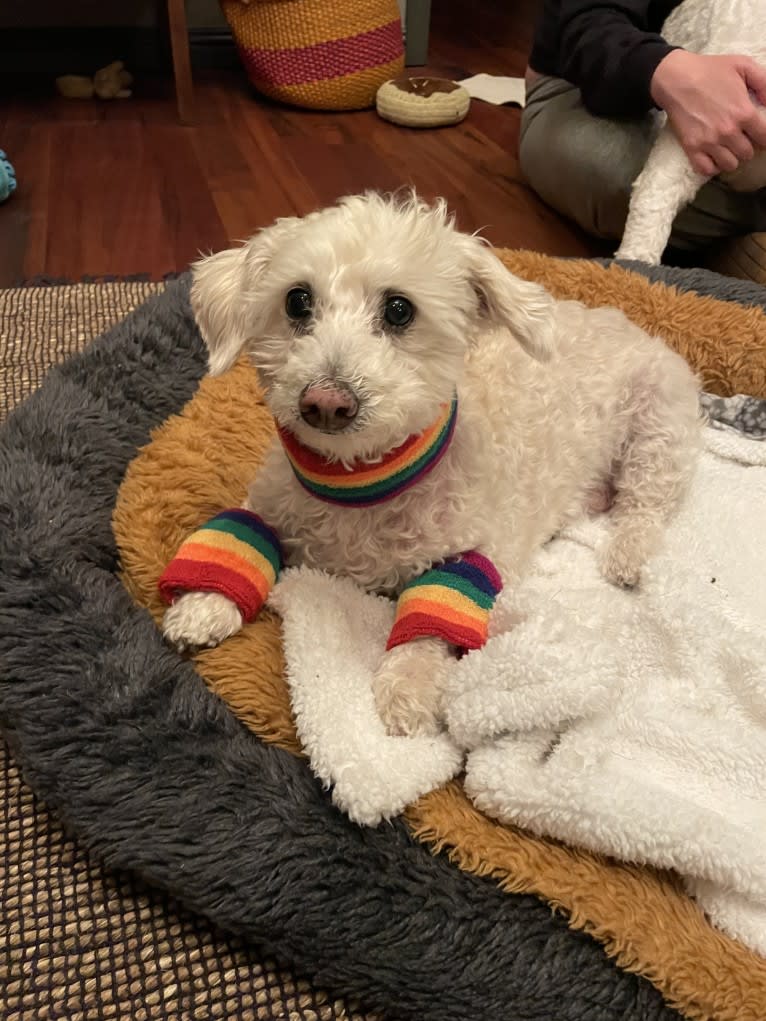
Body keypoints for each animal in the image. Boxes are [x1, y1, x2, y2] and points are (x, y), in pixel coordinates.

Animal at [165, 191, 706, 735]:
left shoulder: (474, 550)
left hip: (658, 429)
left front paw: (410, 684)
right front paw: (205, 603)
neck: (361, 483)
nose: (326, 403)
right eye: (297, 300)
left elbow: (432, 616)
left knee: (645, 505)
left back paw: (627, 555)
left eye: (399, 309)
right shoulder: (273, 503)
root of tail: (637, 327)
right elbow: (243, 535)